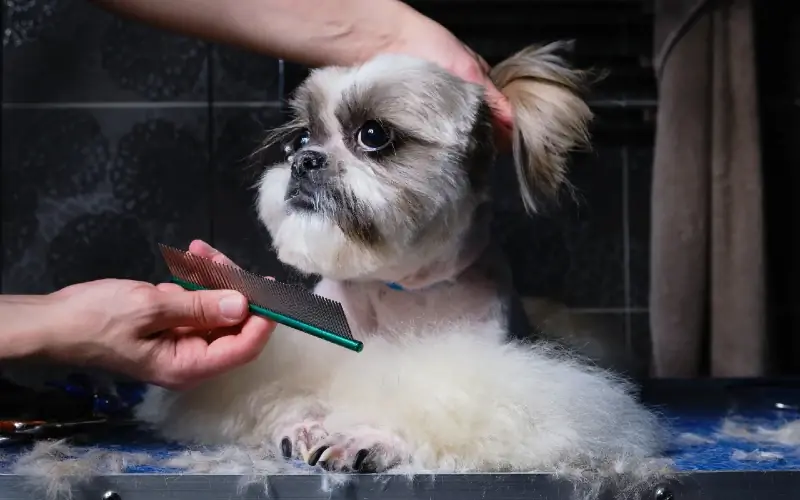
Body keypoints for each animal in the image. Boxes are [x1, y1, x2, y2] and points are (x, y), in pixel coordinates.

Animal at [134, 42, 664, 492]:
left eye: (373, 135)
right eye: (300, 138)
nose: (305, 160)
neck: (390, 288)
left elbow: (420, 403)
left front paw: (365, 434)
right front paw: (304, 421)